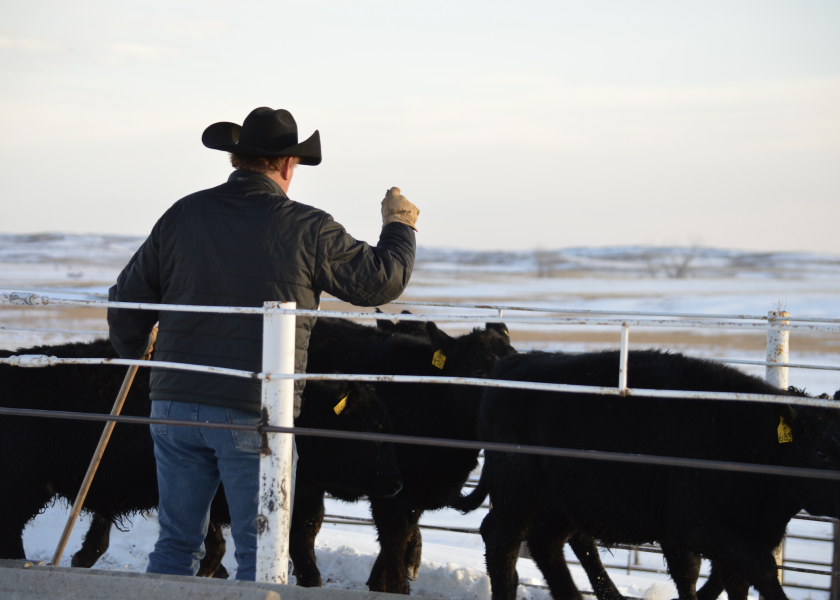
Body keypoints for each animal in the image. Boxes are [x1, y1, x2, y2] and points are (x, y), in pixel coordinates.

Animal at [0, 338, 401, 585]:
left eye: (386, 423)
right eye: (372, 427)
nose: (397, 485)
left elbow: (301, 557)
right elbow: (217, 546)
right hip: (23, 488)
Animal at [307, 317, 516, 594]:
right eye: (478, 369)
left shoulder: (413, 494)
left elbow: (404, 536)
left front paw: (377, 584)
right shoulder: (389, 488)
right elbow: (395, 539)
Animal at [451, 350, 840, 600]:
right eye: (821, 452)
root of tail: (514, 362)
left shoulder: (735, 533)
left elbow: (728, 580)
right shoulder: (692, 525)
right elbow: (748, 570)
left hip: (563, 502)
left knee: (548, 543)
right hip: (517, 491)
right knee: (501, 540)